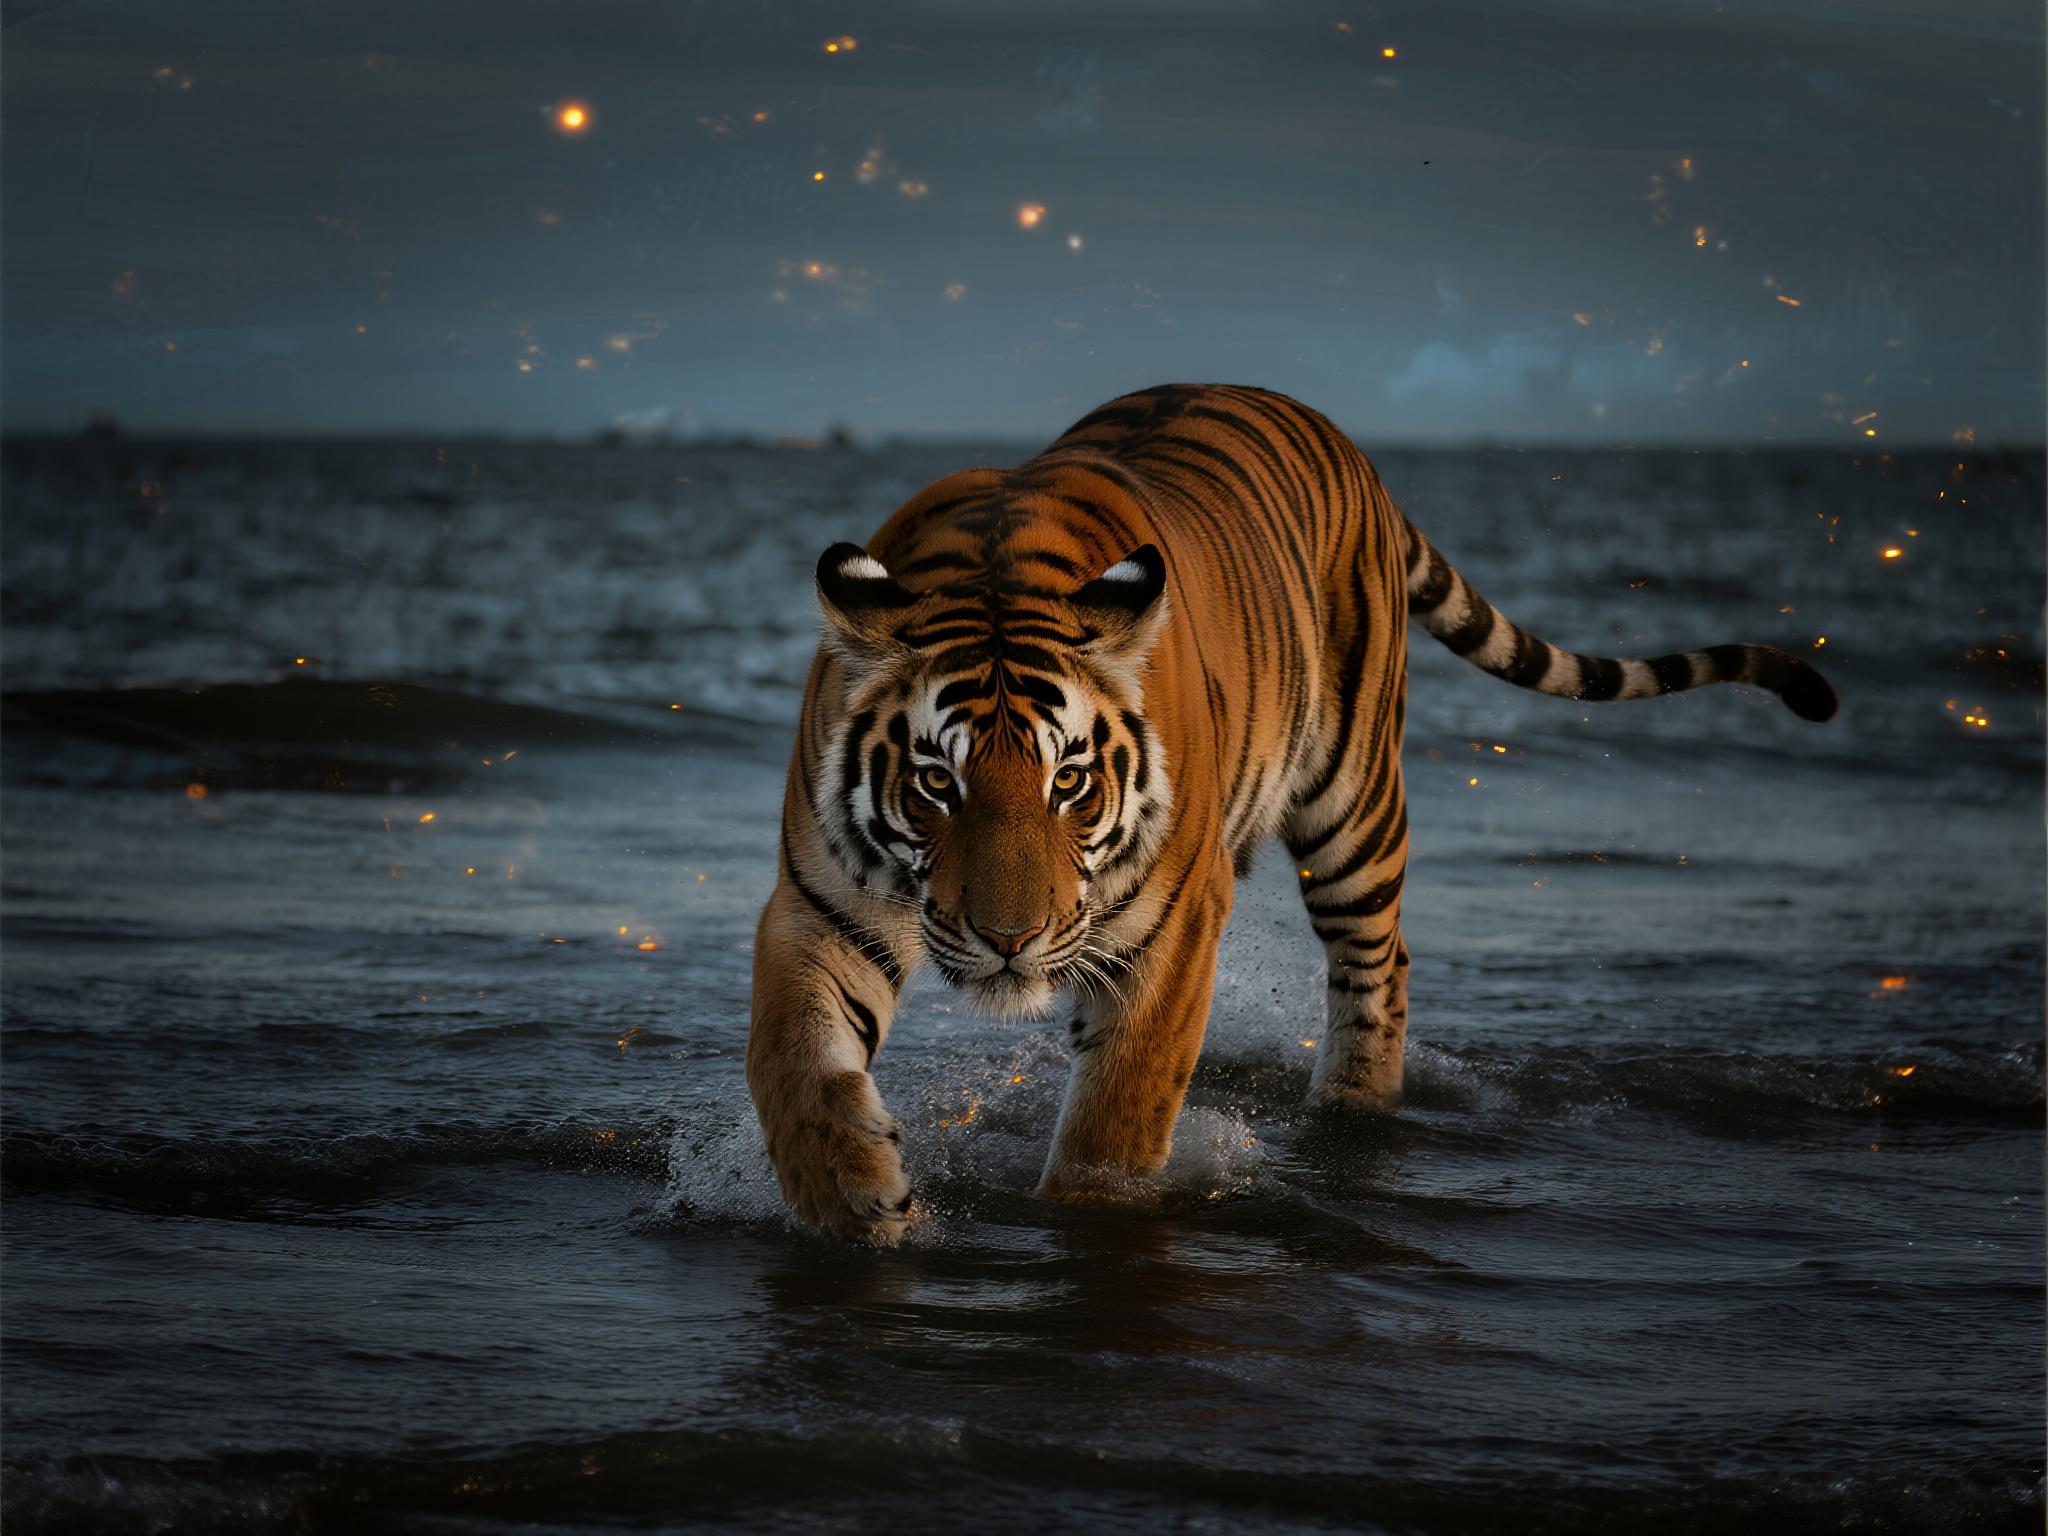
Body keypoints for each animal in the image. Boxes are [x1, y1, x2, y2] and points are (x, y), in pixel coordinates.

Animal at [745, 383, 1836, 1243]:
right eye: (937, 784)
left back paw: (1352, 1114)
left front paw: (1084, 1224)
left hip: (1354, 808)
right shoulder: (823, 900)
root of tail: (1339, 438)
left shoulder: (1173, 927)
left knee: (1379, 964)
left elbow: (1115, 1119)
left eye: (1069, 784)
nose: (1011, 941)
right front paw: (855, 1200)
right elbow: (791, 1058)